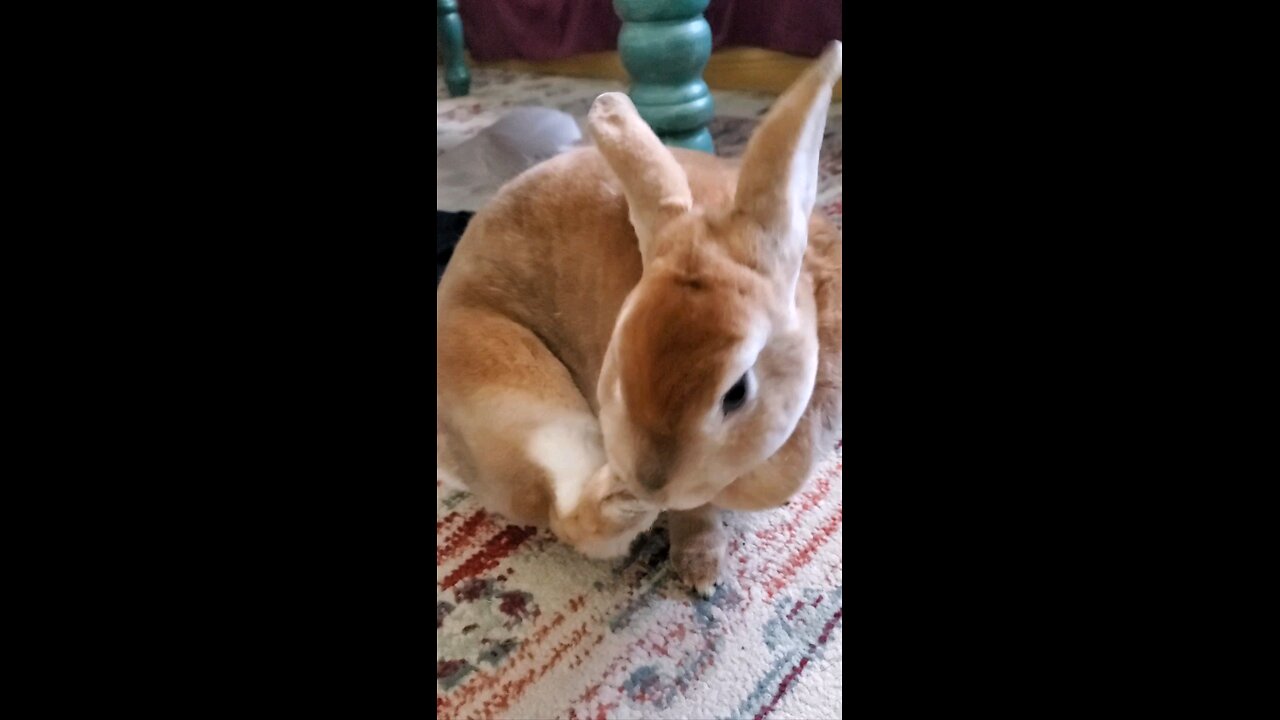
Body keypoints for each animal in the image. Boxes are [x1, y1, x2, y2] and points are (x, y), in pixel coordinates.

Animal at [435, 43, 844, 594]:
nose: (652, 480)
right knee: (571, 519)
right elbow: (694, 513)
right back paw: (623, 502)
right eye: (617, 364)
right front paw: (701, 570)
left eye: (736, 393)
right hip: (514, 387)